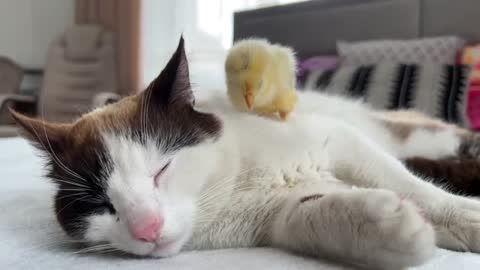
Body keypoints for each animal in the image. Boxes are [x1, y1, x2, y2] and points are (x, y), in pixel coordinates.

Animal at [10, 37, 480, 268]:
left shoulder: (341, 141)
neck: (233, 185)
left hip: (412, 137)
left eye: (161, 170)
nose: (146, 229)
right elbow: (313, 213)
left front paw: (466, 218)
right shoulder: (277, 219)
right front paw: (396, 229)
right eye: (101, 204)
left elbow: (415, 188)